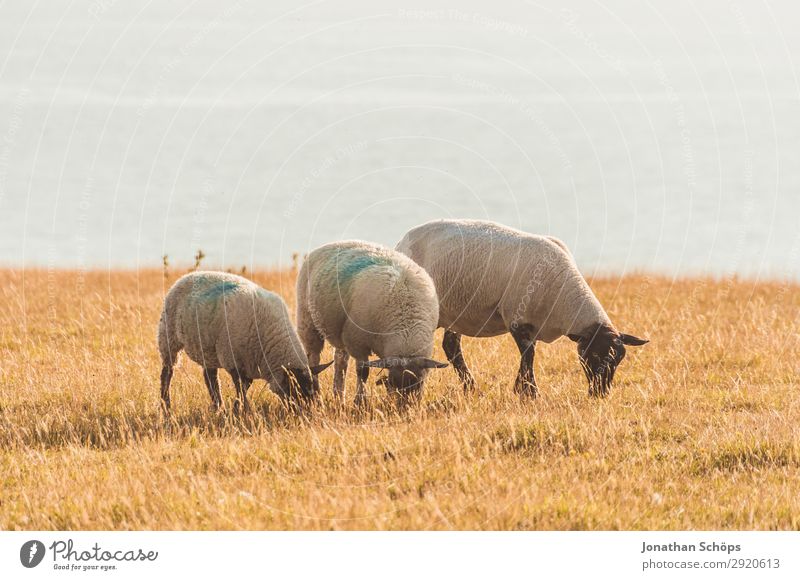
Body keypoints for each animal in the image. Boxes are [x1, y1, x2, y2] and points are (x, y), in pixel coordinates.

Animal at [158, 270, 332, 412]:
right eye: (296, 390)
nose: (309, 413)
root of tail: (189, 275)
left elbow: (245, 386)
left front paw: (238, 407)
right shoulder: (232, 359)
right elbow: (241, 387)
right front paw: (243, 409)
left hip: (208, 348)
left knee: (210, 377)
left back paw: (218, 406)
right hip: (168, 337)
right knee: (167, 373)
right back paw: (166, 405)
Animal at [296, 239, 450, 404]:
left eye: (420, 384)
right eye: (393, 382)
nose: (405, 408)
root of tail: (334, 243)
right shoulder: (357, 342)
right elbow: (363, 372)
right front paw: (360, 402)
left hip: (340, 331)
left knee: (340, 362)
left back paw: (339, 396)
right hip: (308, 323)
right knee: (314, 359)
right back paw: (316, 395)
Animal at [396, 219, 648, 398]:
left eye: (619, 359)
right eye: (591, 356)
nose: (600, 393)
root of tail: (402, 239)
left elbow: (528, 357)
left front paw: (522, 388)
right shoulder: (517, 319)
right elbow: (528, 356)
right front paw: (529, 392)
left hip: (456, 313)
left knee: (451, 346)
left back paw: (471, 388)